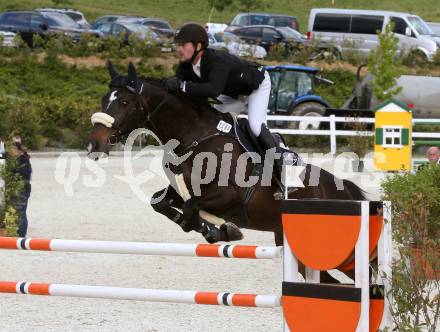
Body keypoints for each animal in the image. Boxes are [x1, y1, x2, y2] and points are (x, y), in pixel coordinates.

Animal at [87, 63, 368, 282]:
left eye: (124, 102)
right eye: (103, 100)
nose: (93, 145)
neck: (195, 136)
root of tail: (345, 191)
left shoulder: (229, 196)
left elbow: (192, 207)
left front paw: (219, 230)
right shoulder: (183, 190)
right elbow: (162, 203)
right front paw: (213, 229)